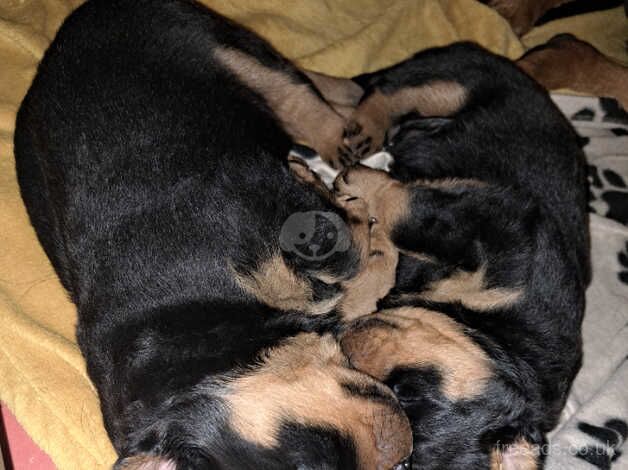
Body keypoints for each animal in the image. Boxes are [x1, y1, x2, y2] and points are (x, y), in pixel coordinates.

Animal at [13, 0, 418, 470]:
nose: (406, 456)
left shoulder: (258, 198)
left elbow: (344, 247)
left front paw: (356, 206)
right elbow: (357, 288)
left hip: (216, 44)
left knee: (307, 106)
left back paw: (351, 143)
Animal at [334, 41, 588, 470]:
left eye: (403, 465)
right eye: (409, 392)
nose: (344, 347)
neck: (502, 334)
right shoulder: (500, 227)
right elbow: (405, 209)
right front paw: (360, 183)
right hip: (456, 80)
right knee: (390, 88)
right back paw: (363, 131)